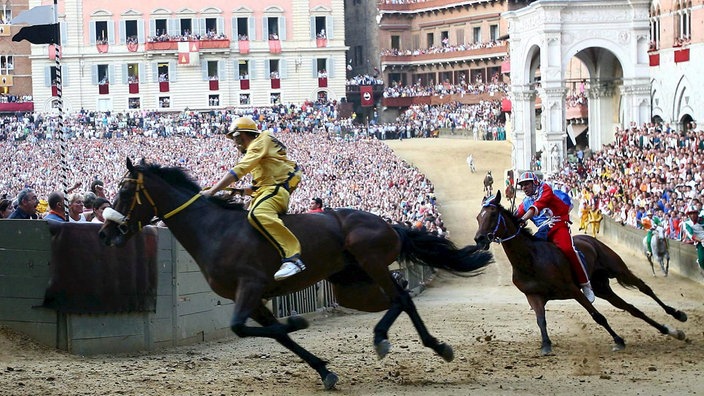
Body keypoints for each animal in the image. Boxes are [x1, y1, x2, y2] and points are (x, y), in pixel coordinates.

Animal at [97, 158, 496, 390]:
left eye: (124, 190)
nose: (104, 233)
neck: (215, 230)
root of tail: (389, 223)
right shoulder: (255, 299)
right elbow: (276, 335)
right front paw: (323, 368)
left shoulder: (250, 287)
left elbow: (244, 328)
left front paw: (298, 322)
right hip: (352, 286)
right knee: (402, 296)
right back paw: (422, 342)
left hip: (370, 261)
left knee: (399, 296)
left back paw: (405, 341)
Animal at [472, 192, 688, 356]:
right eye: (478, 217)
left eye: (492, 215)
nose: (479, 239)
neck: (530, 260)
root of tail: (591, 239)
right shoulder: (534, 296)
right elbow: (541, 321)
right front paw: (546, 344)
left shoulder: (573, 290)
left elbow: (598, 316)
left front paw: (618, 339)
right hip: (601, 287)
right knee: (632, 308)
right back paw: (668, 330)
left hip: (617, 268)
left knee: (645, 288)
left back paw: (677, 314)